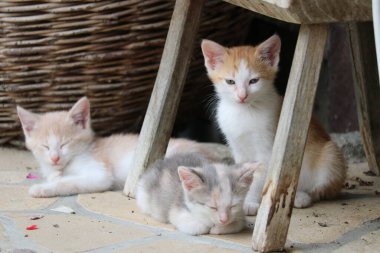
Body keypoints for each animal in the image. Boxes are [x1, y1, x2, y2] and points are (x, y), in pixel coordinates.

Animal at [17, 97, 220, 198]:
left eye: (65, 143)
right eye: (44, 146)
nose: (55, 158)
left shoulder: (99, 174)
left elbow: (69, 182)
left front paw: (41, 189)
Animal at [202, 34, 348, 214]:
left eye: (253, 81)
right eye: (230, 81)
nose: (242, 96)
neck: (243, 112)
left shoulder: (267, 151)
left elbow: (258, 179)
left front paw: (250, 202)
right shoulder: (237, 148)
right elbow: (244, 173)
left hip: (330, 156)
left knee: (321, 190)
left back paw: (301, 197)